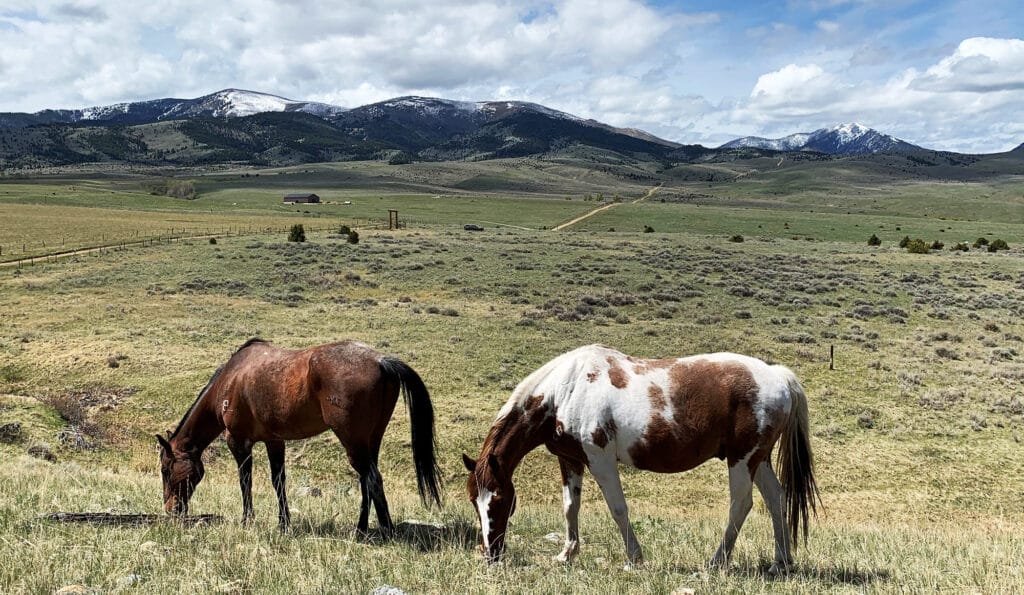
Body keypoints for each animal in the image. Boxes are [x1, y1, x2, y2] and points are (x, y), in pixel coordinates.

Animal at [157, 338, 442, 533]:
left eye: (165, 470)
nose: (171, 510)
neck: (229, 381)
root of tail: (381, 361)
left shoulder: (238, 442)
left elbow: (245, 482)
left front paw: (247, 521)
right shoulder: (274, 440)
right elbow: (278, 481)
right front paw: (284, 524)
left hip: (353, 441)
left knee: (372, 479)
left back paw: (385, 530)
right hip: (371, 441)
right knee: (365, 481)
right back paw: (361, 529)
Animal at [463, 344, 820, 574]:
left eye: (500, 500)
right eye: (473, 502)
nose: (489, 553)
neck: (566, 390)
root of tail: (778, 375)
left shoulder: (600, 459)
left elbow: (618, 509)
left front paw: (634, 558)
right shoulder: (570, 460)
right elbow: (570, 507)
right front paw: (567, 554)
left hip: (742, 460)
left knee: (741, 504)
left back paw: (717, 561)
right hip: (758, 460)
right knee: (777, 499)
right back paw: (780, 562)